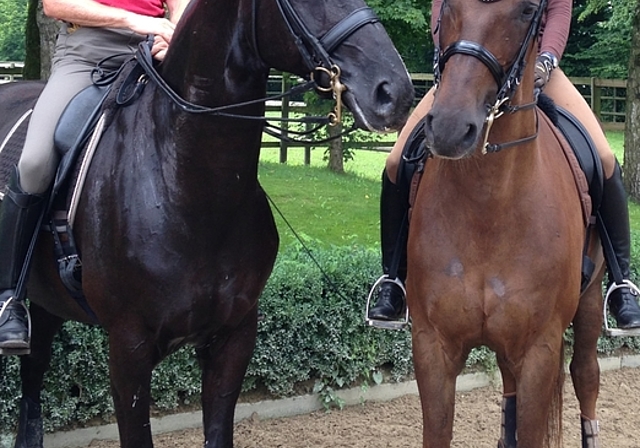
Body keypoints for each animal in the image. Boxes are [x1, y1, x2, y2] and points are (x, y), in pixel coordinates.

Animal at [0, 0, 416, 448]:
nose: (395, 92)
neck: (186, 181)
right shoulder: (129, 347)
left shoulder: (233, 338)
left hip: (48, 301)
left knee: (34, 371)